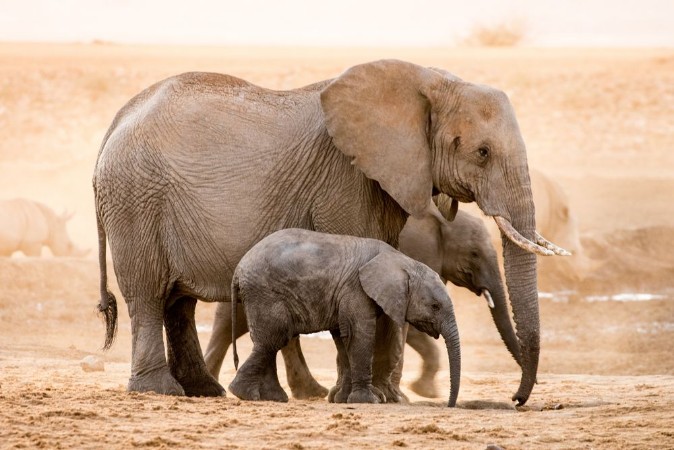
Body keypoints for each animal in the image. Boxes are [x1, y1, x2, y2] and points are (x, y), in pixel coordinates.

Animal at [228, 228, 461, 407]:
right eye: (435, 306)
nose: (449, 405)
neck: (402, 260)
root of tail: (238, 270)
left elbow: (343, 337)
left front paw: (342, 400)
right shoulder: (356, 289)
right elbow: (359, 334)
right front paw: (369, 401)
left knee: (269, 342)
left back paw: (271, 398)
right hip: (265, 294)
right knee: (273, 339)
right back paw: (244, 393)